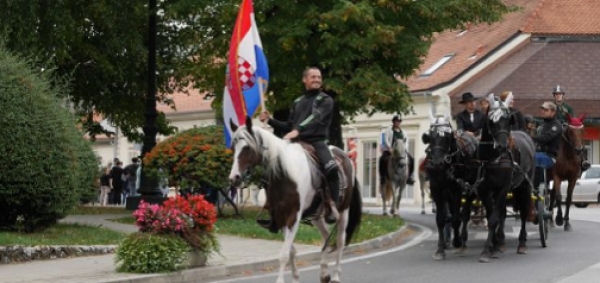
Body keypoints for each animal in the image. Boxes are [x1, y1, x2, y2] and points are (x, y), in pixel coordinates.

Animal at [229, 117, 360, 283]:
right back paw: (324, 272)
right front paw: (296, 277)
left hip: (343, 211)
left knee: (341, 241)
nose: (234, 178)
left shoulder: (293, 217)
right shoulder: (281, 218)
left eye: (247, 148)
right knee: (326, 236)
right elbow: (290, 251)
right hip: (318, 215)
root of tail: (344, 155)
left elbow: (284, 254)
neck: (285, 174)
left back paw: (336, 275)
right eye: (233, 147)